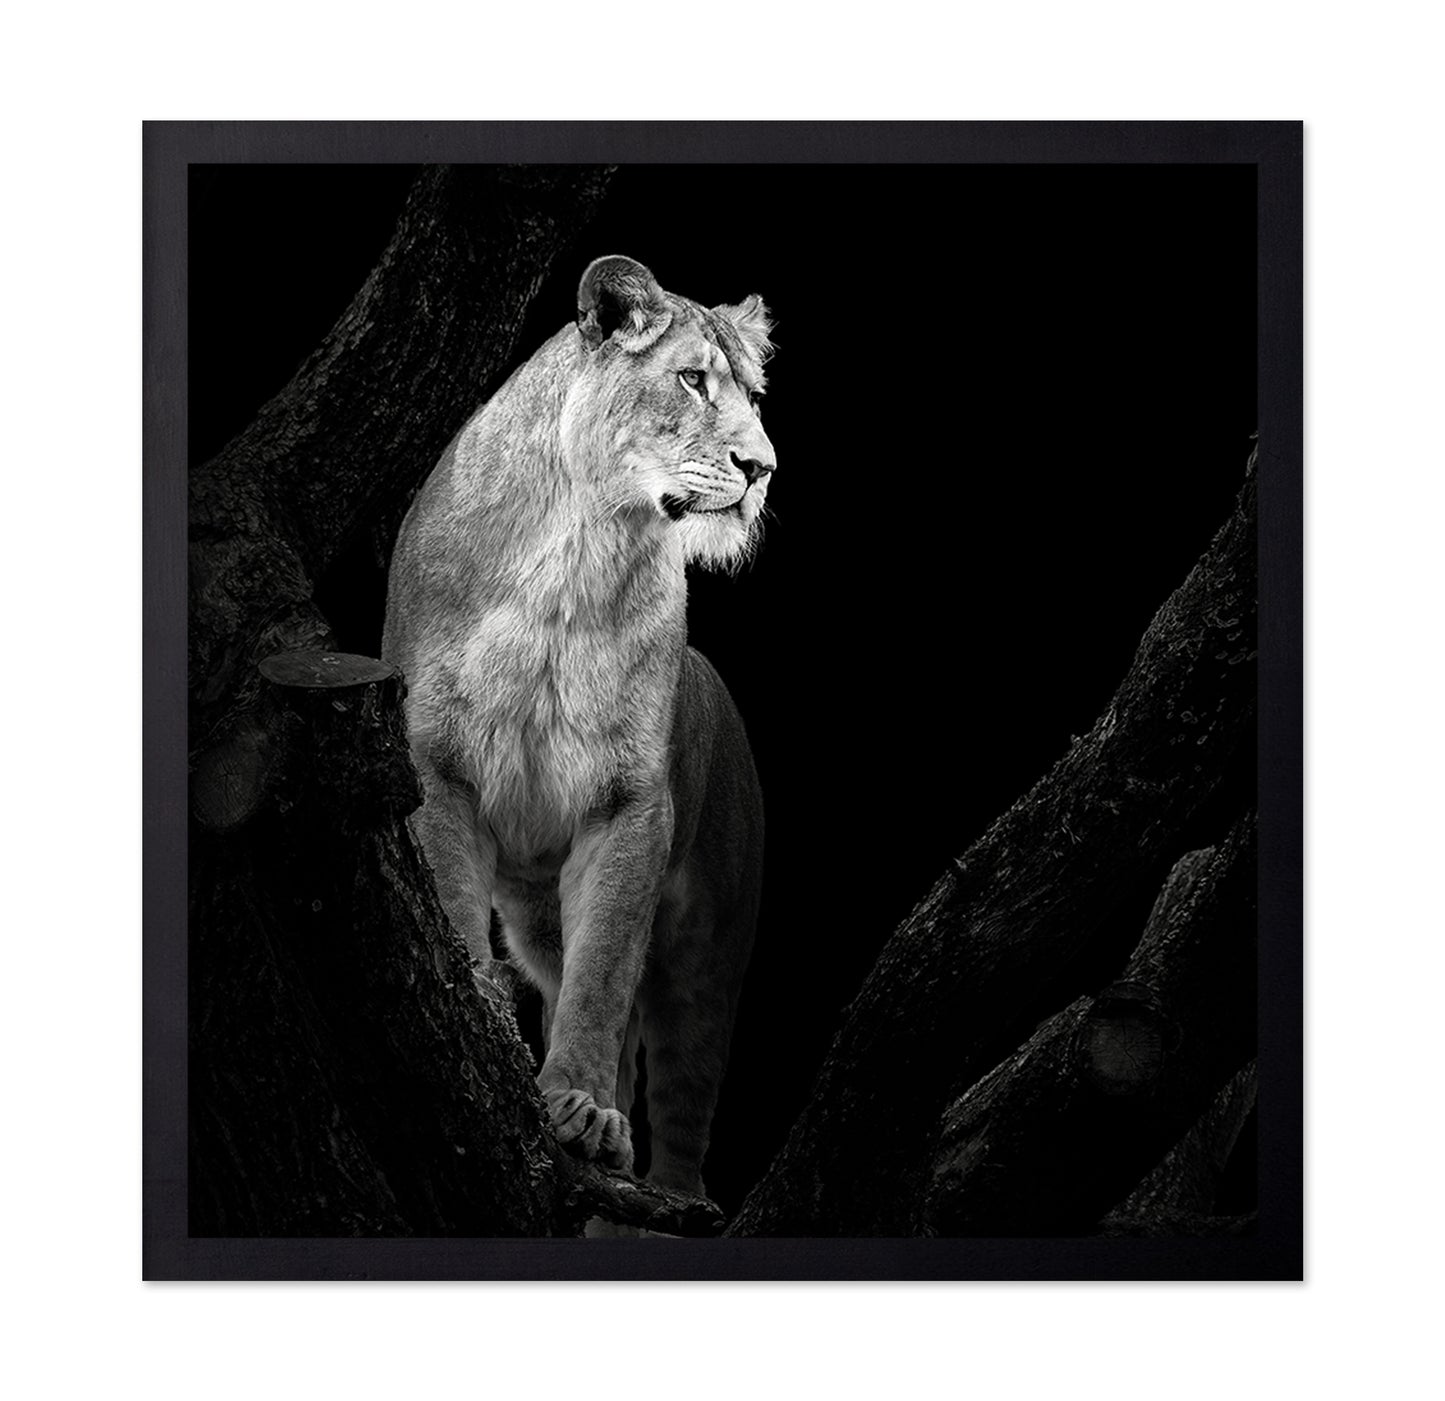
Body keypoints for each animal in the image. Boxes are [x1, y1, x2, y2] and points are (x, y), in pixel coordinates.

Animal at [382, 255, 776, 1198]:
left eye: (753, 393)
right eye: (691, 379)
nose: (763, 467)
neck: (581, 548)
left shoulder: (629, 805)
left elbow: (603, 977)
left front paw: (585, 1112)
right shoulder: (436, 764)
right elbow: (455, 907)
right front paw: (484, 1019)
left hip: (714, 946)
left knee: (681, 1094)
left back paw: (666, 1193)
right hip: (535, 916)